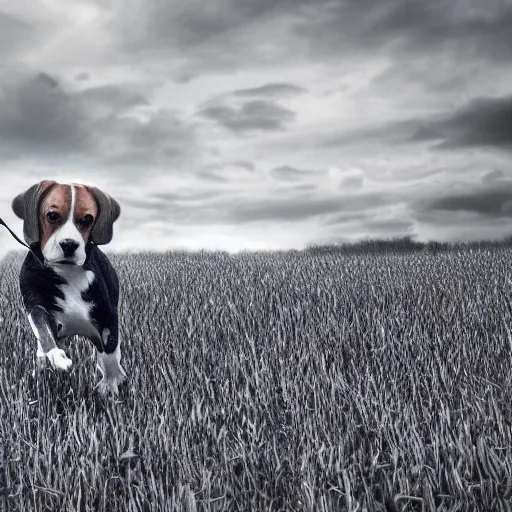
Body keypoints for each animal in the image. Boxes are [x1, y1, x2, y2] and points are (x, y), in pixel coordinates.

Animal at [12, 180, 126, 396]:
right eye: (52, 215)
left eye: (87, 219)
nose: (69, 244)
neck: (66, 271)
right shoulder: (35, 304)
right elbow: (43, 331)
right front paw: (57, 358)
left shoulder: (107, 318)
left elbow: (109, 355)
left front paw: (110, 384)